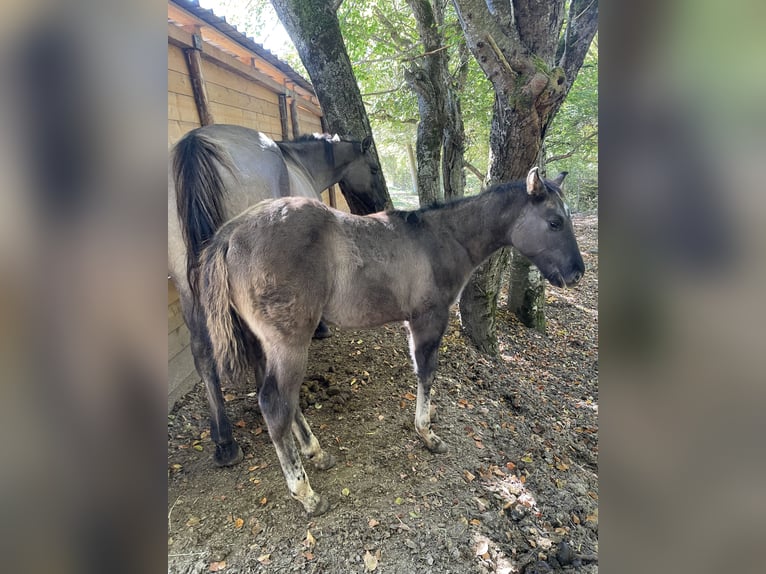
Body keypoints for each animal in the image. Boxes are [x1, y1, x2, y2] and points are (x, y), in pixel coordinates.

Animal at [168, 124, 386, 467]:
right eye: (374, 168)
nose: (378, 203)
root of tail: (197, 141)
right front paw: (321, 326)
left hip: (190, 285)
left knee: (203, 351)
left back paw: (223, 440)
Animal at [197, 166, 585, 516]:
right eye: (554, 222)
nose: (576, 273)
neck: (442, 239)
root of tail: (230, 234)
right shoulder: (429, 318)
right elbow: (427, 372)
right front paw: (427, 434)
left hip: (265, 344)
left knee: (280, 398)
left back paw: (315, 452)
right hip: (290, 342)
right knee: (276, 403)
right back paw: (306, 494)